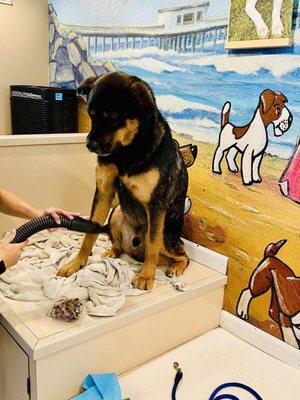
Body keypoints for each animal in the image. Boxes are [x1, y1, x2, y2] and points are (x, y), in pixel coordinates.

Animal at [57, 72, 189, 290]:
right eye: (91, 114)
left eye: (113, 117)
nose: (89, 145)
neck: (126, 151)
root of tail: (135, 252)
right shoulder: (103, 191)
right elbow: (89, 234)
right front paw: (76, 263)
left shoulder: (156, 205)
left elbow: (153, 245)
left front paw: (146, 276)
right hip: (117, 213)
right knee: (118, 244)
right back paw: (112, 251)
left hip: (165, 236)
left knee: (182, 255)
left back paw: (174, 267)